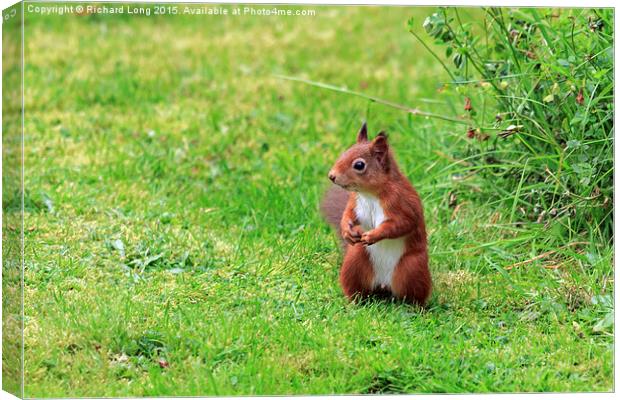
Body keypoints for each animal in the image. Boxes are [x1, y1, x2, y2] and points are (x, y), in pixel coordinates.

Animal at [320, 123, 432, 304]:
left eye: (359, 165)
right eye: (345, 152)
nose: (332, 176)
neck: (370, 194)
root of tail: (383, 285)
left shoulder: (402, 204)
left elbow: (403, 224)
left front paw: (374, 235)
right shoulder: (355, 202)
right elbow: (348, 215)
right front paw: (346, 230)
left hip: (412, 268)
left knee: (413, 293)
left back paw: (414, 306)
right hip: (355, 261)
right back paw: (354, 302)